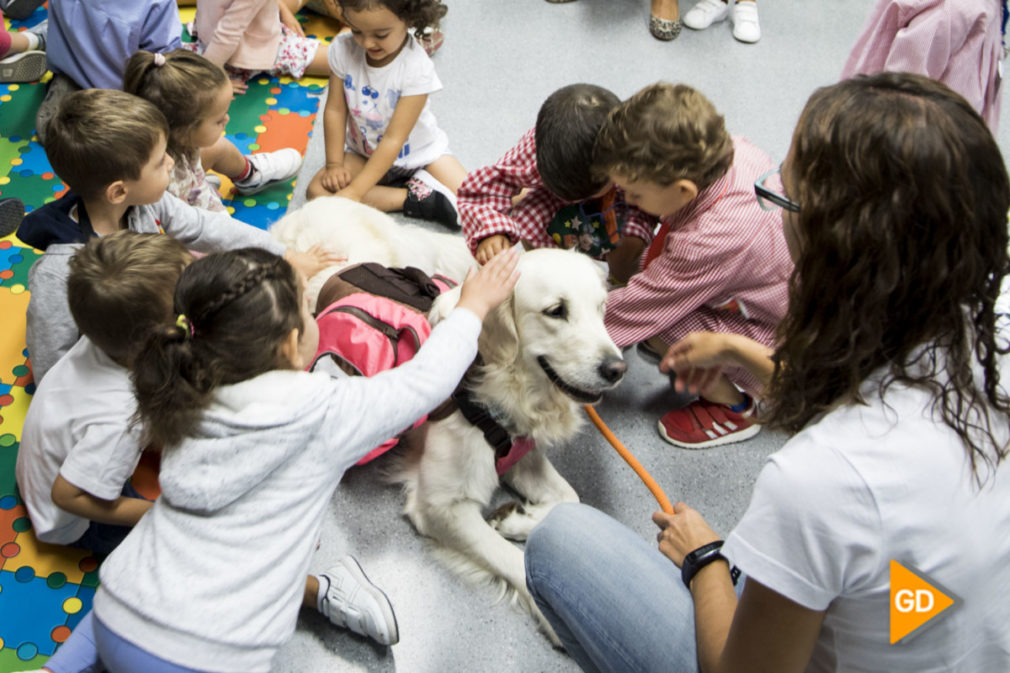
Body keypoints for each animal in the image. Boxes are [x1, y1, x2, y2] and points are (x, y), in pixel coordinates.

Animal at [272, 198, 626, 638]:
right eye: (556, 311)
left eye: (601, 309)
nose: (617, 369)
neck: (501, 386)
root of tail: (317, 200)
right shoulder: (441, 506)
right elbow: (511, 560)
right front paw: (553, 618)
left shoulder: (522, 454)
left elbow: (570, 499)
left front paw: (516, 521)